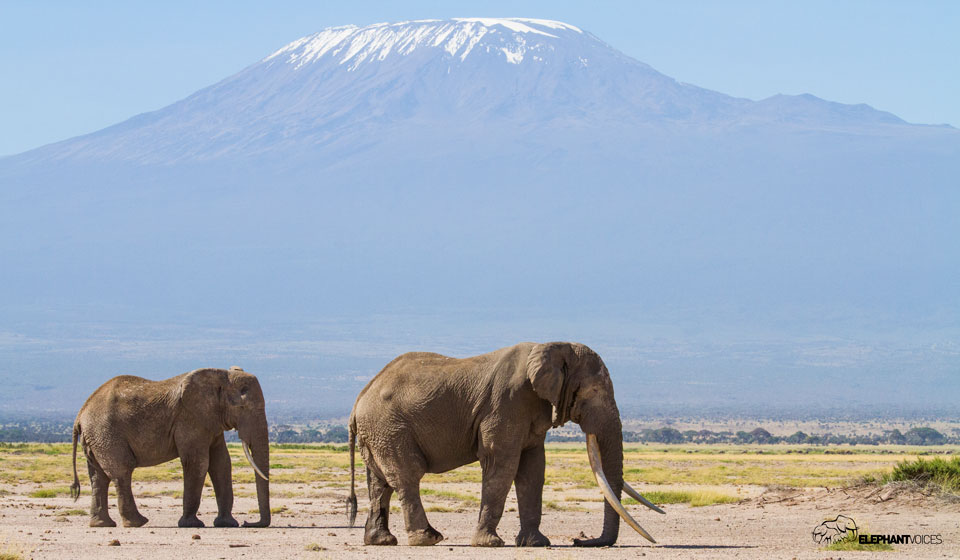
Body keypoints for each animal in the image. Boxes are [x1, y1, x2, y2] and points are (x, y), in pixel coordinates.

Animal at [69, 366, 271, 528]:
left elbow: (221, 464)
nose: (248, 522)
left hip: (96, 438)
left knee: (98, 477)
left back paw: (102, 524)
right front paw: (192, 525)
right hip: (106, 434)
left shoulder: (211, 421)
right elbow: (198, 463)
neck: (220, 375)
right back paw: (137, 523)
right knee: (121, 473)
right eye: (242, 407)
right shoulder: (189, 419)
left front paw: (227, 524)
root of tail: (80, 414)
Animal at [345, 342, 664, 547]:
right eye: (593, 391)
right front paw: (490, 544)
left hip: (379, 432)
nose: (579, 540)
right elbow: (503, 465)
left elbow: (533, 470)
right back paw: (428, 539)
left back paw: (382, 541)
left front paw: (536, 544)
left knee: (379, 483)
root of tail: (358, 400)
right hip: (390, 427)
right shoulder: (507, 404)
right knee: (407, 477)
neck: (553, 346)